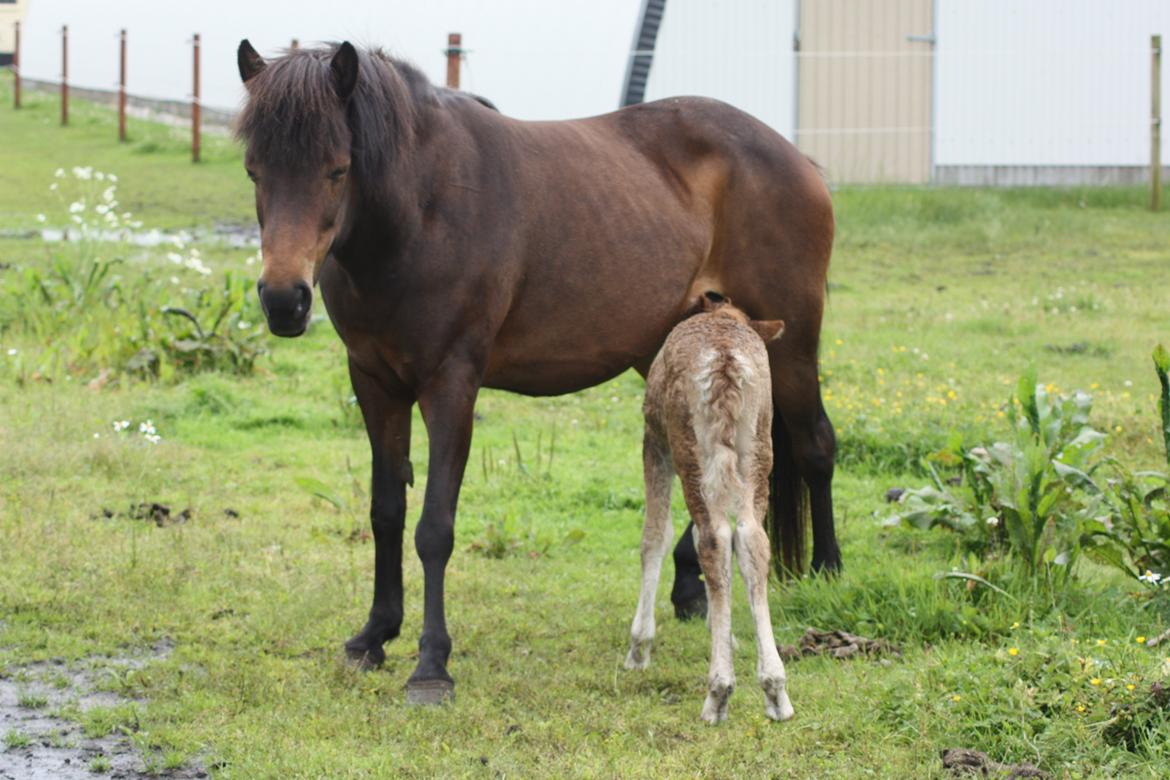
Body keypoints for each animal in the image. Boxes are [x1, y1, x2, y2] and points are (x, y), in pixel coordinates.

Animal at [622, 301, 795, 725]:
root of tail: (726, 360)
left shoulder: (653, 441)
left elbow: (655, 535)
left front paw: (639, 647)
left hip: (688, 445)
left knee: (714, 537)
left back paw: (718, 693)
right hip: (758, 443)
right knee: (751, 539)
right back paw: (776, 690)